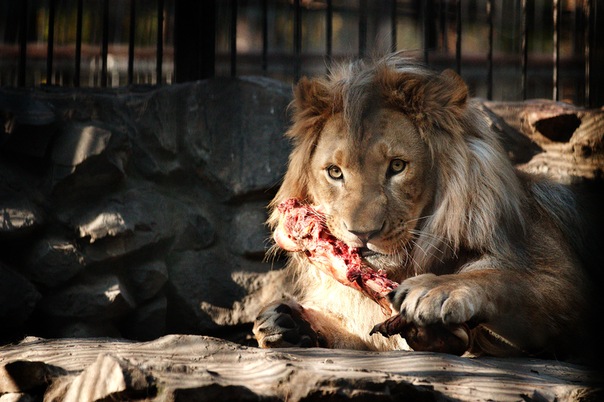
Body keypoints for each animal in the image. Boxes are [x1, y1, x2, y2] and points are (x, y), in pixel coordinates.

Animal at [254, 54, 600, 364]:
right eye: (335, 172)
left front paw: (436, 290)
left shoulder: (567, 284)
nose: (362, 233)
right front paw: (287, 322)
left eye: (397, 166)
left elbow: (508, 279)